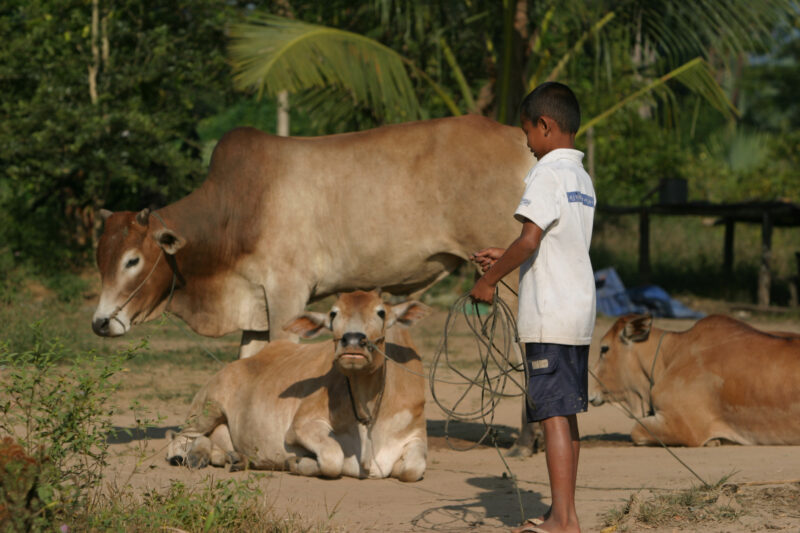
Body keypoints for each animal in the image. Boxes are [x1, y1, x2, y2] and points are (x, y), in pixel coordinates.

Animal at [166, 290, 429, 481]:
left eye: (381, 312)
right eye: (333, 314)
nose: (353, 340)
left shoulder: (416, 434)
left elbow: (413, 469)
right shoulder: (300, 426)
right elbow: (332, 458)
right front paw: (297, 462)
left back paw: (232, 457)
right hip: (207, 407)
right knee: (179, 439)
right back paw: (191, 456)